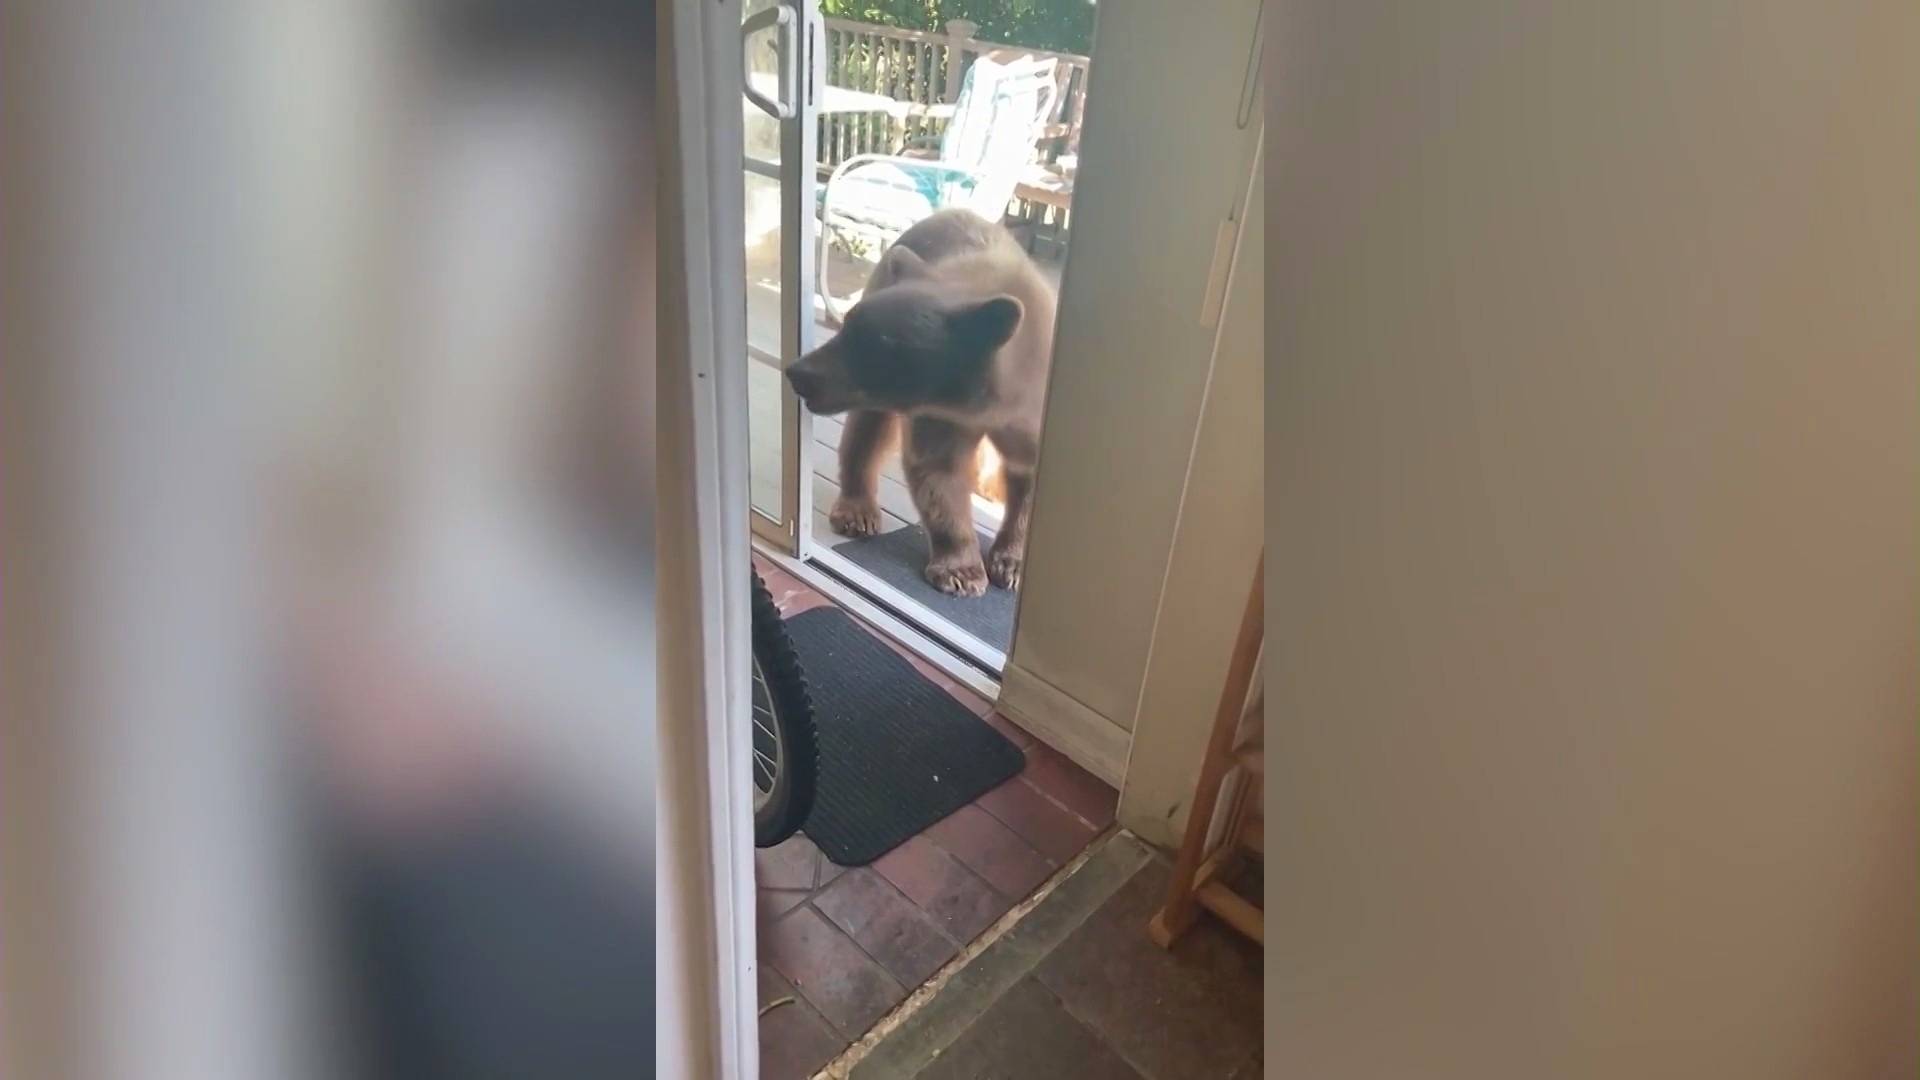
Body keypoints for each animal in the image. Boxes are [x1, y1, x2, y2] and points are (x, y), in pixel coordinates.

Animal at [783, 210, 1067, 595]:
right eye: (848, 327)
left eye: (876, 343)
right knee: (867, 431)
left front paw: (1011, 564)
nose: (797, 371)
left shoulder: (1033, 411)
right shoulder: (938, 414)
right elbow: (938, 472)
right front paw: (961, 571)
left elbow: (1029, 475)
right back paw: (857, 509)